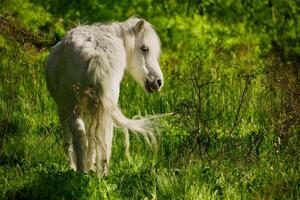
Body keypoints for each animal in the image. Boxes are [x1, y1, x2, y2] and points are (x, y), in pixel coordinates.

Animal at [45, 16, 164, 175]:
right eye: (144, 48)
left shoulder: (65, 110)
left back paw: (82, 171)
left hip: (76, 109)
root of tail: (95, 55)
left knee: (82, 138)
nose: (158, 82)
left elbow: (72, 140)